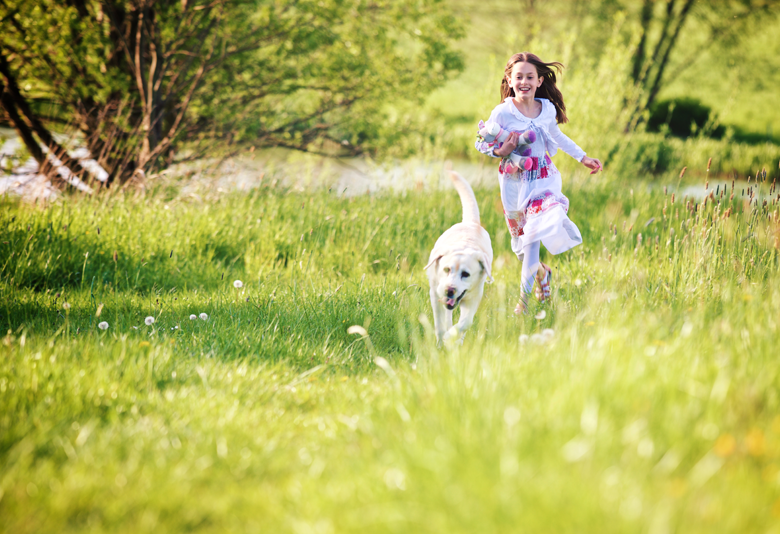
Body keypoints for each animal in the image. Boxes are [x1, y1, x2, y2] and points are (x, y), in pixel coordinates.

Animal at [424, 171, 493, 344]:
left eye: (466, 274)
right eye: (446, 269)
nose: (450, 290)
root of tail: (470, 222)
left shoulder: (474, 297)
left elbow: (465, 323)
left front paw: (451, 337)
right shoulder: (435, 294)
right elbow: (439, 324)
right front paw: (441, 343)